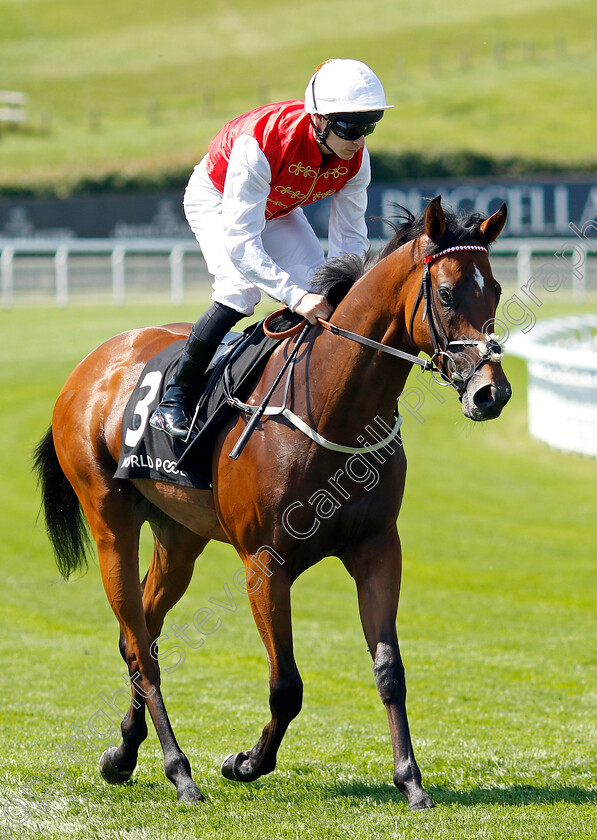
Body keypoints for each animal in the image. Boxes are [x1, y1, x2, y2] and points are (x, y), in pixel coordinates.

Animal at [32, 195, 510, 808]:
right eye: (447, 293)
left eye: (495, 288)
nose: (491, 393)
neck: (333, 408)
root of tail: (90, 365)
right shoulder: (265, 563)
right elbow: (286, 685)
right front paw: (245, 763)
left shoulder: (378, 548)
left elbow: (390, 669)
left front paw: (411, 780)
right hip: (109, 519)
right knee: (139, 644)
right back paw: (179, 770)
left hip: (178, 536)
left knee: (142, 633)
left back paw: (124, 753)